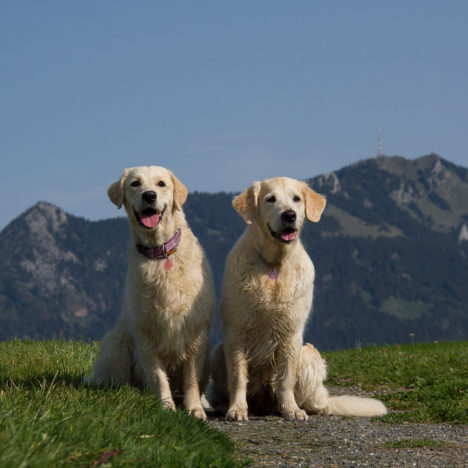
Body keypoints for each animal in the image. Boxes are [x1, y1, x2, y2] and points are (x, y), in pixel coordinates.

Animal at [87, 165, 215, 420]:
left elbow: (192, 379)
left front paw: (194, 409)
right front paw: (166, 407)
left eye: (161, 184)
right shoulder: (145, 332)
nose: (149, 196)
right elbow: (158, 375)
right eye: (135, 183)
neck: (161, 253)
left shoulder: (195, 332)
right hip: (117, 346)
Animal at [209, 177, 388, 422]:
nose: (289, 215)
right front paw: (236, 409)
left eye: (296, 199)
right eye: (270, 199)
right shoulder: (237, 332)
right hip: (218, 352)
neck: (274, 265)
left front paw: (291, 410)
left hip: (309, 356)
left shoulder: (292, 334)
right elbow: (238, 376)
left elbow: (285, 379)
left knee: (313, 402)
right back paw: (223, 406)